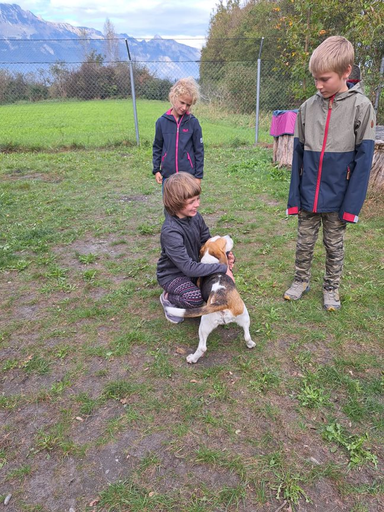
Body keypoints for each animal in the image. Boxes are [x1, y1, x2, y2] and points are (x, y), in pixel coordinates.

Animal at [167, 236, 255, 364]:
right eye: (224, 241)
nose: (230, 236)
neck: (211, 260)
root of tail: (222, 300)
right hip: (244, 314)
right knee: (247, 336)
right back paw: (250, 344)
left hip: (205, 324)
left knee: (202, 347)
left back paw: (192, 359)